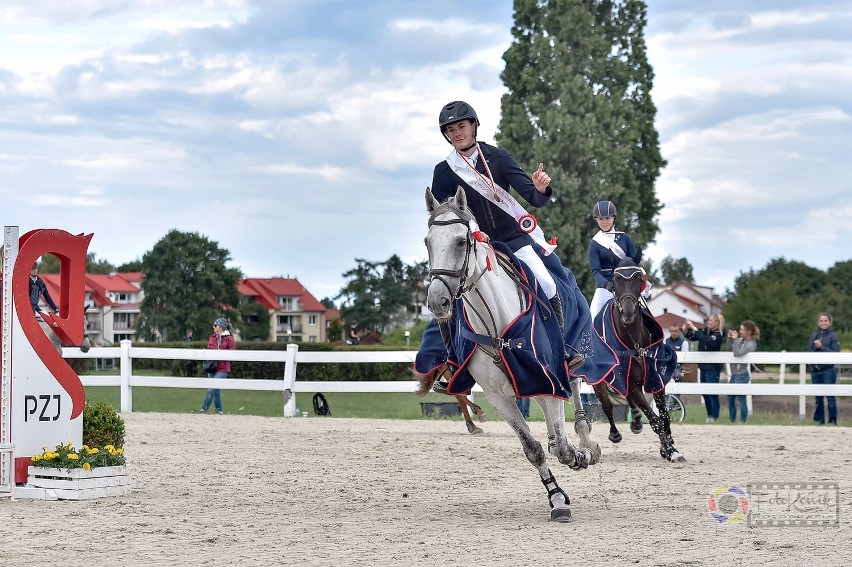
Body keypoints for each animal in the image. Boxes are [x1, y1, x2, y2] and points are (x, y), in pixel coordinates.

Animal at [424, 187, 600, 524]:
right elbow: (533, 448)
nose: (437, 301)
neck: (496, 324)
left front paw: (577, 456)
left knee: (572, 392)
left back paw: (586, 444)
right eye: (428, 242)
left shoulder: (547, 376)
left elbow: (562, 442)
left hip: (566, 364)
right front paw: (557, 498)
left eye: (461, 241)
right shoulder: (499, 397)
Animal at [588, 260, 688, 464]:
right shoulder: (632, 384)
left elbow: (664, 416)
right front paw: (670, 450)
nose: (628, 313)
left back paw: (635, 423)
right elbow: (655, 420)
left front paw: (669, 447)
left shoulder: (656, 379)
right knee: (607, 406)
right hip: (600, 383)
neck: (634, 341)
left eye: (639, 279)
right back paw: (615, 434)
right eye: (616, 280)